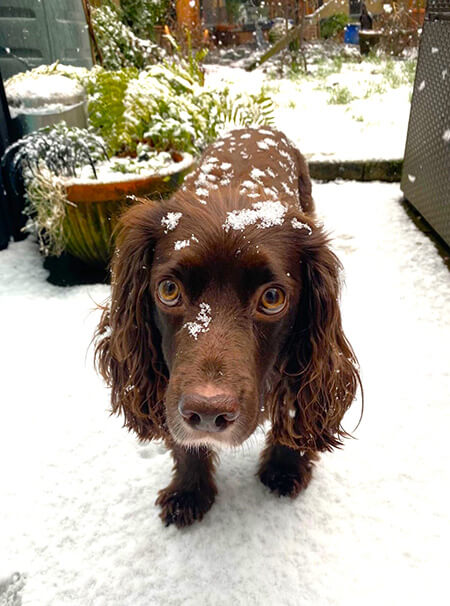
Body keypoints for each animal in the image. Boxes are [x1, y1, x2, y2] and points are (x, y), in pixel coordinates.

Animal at [96, 128, 362, 528]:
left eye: (272, 298)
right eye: (168, 290)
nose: (207, 413)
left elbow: (292, 406)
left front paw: (286, 468)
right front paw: (188, 492)